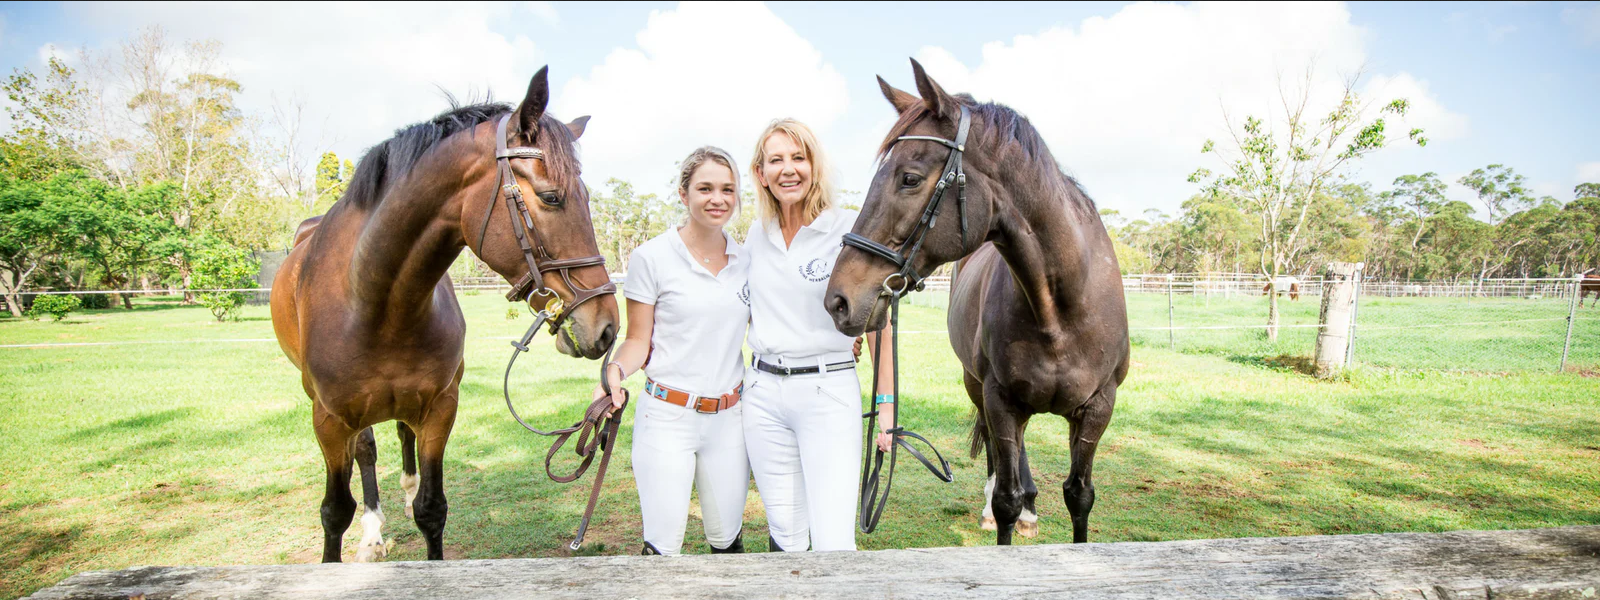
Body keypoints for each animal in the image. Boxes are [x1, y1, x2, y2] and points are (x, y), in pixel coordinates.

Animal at [268, 69, 617, 563]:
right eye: (552, 197)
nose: (607, 325)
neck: (377, 305)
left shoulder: (439, 409)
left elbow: (431, 509)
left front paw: (417, 502)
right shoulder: (330, 421)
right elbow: (335, 512)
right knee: (367, 452)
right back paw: (373, 531)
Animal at [832, 60, 1132, 544]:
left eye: (909, 178)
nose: (839, 299)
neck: (1061, 310)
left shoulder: (1098, 408)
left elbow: (1079, 495)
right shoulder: (999, 400)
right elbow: (1006, 496)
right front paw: (1005, 510)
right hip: (977, 387)